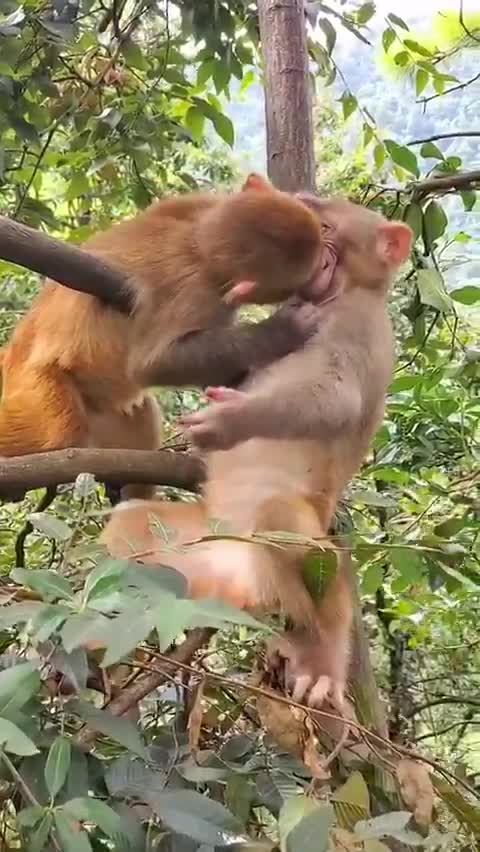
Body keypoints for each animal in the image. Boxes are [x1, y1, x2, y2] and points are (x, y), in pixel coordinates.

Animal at [0, 176, 332, 499]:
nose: (326, 265)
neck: (199, 247)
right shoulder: (199, 293)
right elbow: (153, 363)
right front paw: (282, 330)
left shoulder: (199, 205)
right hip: (38, 383)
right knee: (58, 433)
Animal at [100, 186, 413, 708]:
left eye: (327, 226)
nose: (303, 197)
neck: (347, 291)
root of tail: (241, 580)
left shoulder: (357, 324)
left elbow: (336, 396)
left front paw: (225, 422)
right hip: (195, 555)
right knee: (130, 525)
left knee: (284, 523)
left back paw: (323, 657)